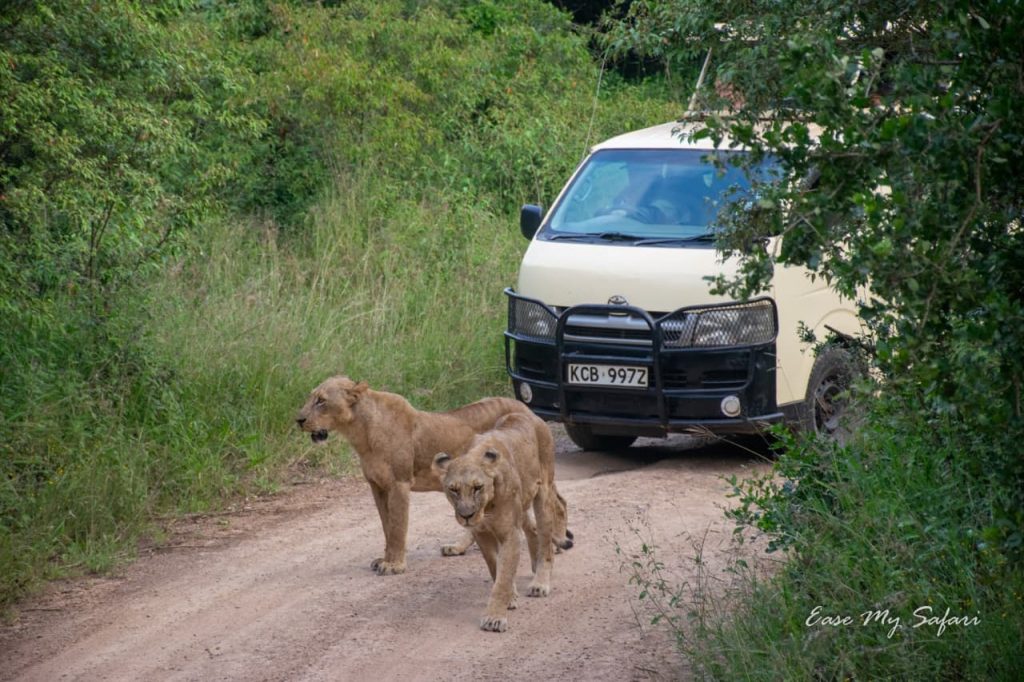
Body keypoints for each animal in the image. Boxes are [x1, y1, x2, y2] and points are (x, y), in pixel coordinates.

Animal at [295, 375, 536, 575]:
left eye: (321, 401)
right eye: (310, 397)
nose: (299, 420)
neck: (360, 431)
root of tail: (525, 408)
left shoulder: (398, 483)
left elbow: (397, 527)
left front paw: (394, 565)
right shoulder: (377, 486)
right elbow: (387, 526)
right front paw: (385, 559)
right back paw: (457, 547)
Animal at [432, 411, 573, 632]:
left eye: (477, 487)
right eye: (453, 489)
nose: (466, 515)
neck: (486, 507)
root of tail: (527, 414)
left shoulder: (509, 534)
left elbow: (504, 574)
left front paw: (494, 618)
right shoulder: (482, 533)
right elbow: (496, 567)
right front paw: (510, 597)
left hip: (543, 493)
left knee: (547, 537)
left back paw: (540, 582)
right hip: (522, 504)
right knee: (533, 530)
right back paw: (534, 563)